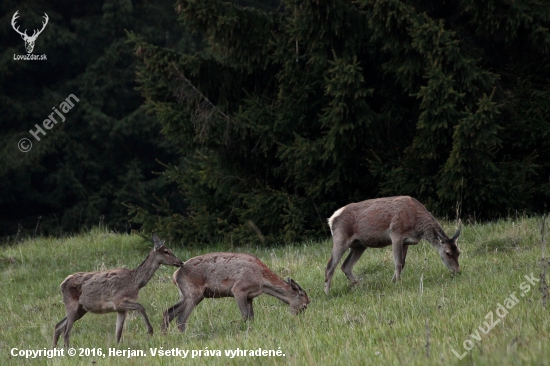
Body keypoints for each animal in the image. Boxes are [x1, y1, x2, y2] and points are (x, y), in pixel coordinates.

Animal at [52, 233, 184, 348]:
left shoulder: (121, 309)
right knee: (66, 332)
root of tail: (62, 284)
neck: (135, 282)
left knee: (58, 326)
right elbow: (141, 306)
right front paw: (150, 330)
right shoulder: (118, 301)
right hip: (72, 303)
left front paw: (117, 347)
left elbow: (118, 333)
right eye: (166, 251)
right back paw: (66, 349)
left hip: (81, 309)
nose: (180, 262)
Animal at [162, 253, 312, 334]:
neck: (262, 281)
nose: (297, 319)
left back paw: (164, 335)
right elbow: (245, 315)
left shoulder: (250, 296)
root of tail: (175, 275)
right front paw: (239, 328)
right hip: (194, 293)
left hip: (188, 294)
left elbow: (251, 317)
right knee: (180, 319)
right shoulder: (239, 289)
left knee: (168, 312)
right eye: (305, 304)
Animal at [326, 196, 464, 296]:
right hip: (340, 238)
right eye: (447, 253)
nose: (457, 271)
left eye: (459, 252)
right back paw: (327, 293)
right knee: (330, 266)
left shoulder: (407, 242)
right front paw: (398, 283)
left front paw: (392, 281)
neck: (416, 225)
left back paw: (360, 285)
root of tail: (331, 219)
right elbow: (397, 263)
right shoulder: (396, 234)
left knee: (345, 266)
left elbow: (402, 263)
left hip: (359, 245)